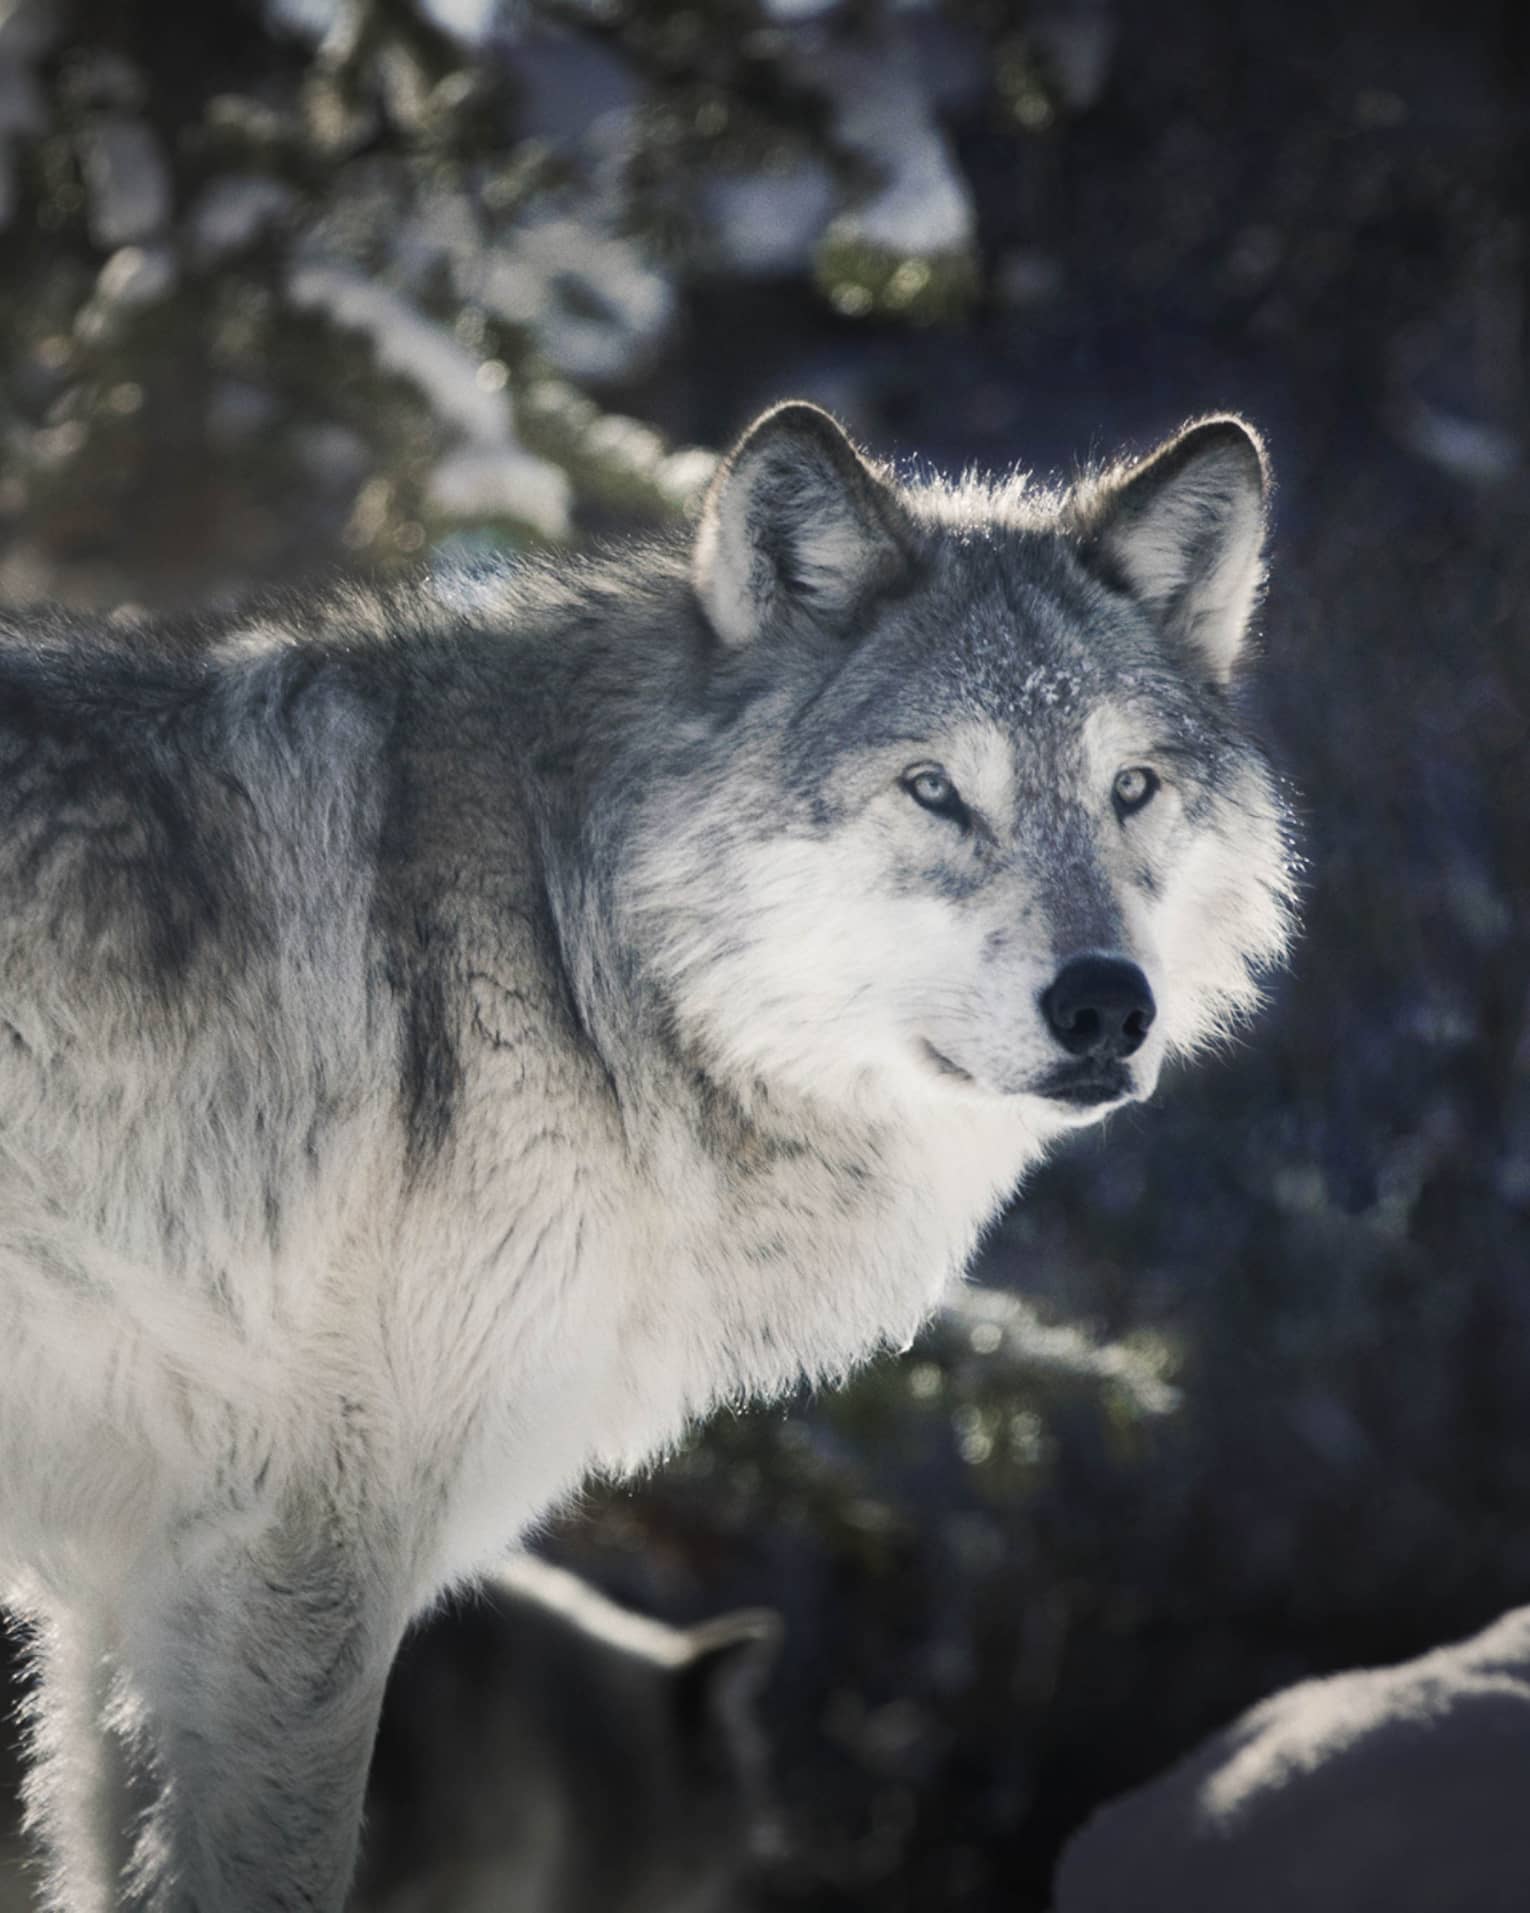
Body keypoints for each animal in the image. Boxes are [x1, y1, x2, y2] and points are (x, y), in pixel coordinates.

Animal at [0, 400, 1292, 1909]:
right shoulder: (292, 1557)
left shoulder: (125, 1586)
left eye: (1130, 788)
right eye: (933, 790)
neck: (576, 953)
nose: (1104, 1005)